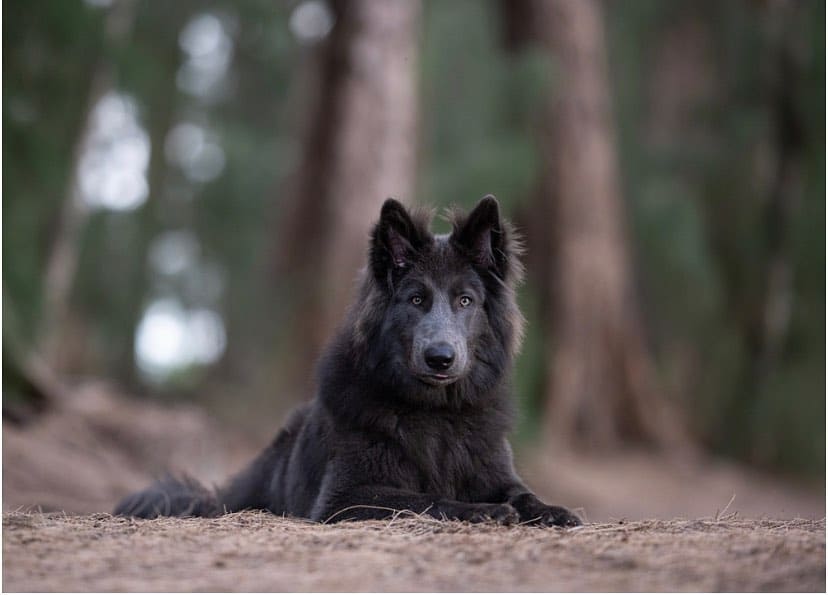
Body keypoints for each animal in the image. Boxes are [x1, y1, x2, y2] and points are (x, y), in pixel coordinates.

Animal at [115, 198, 584, 528]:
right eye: (417, 300)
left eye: (465, 300)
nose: (440, 358)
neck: (435, 412)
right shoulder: (346, 497)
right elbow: (425, 498)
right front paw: (480, 510)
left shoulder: (500, 476)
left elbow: (524, 495)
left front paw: (554, 510)